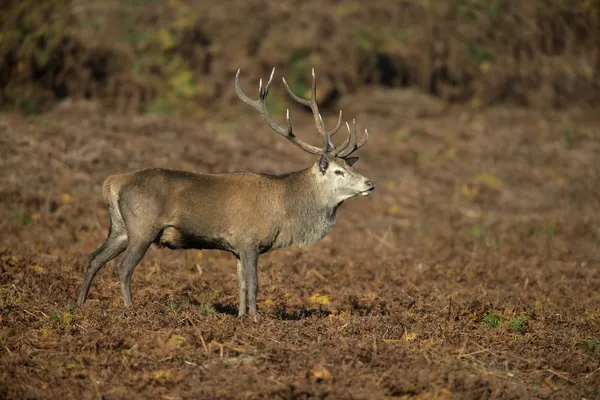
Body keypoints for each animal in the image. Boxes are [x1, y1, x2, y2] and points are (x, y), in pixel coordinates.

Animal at [77, 67, 372, 318]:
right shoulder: (249, 239)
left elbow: (240, 284)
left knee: (93, 259)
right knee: (123, 267)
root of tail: (113, 182)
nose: (370, 183)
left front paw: (241, 317)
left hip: (120, 228)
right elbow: (253, 283)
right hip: (142, 227)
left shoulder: (236, 247)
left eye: (350, 165)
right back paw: (130, 309)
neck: (285, 212)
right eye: (338, 171)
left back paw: (79, 304)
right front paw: (255, 319)